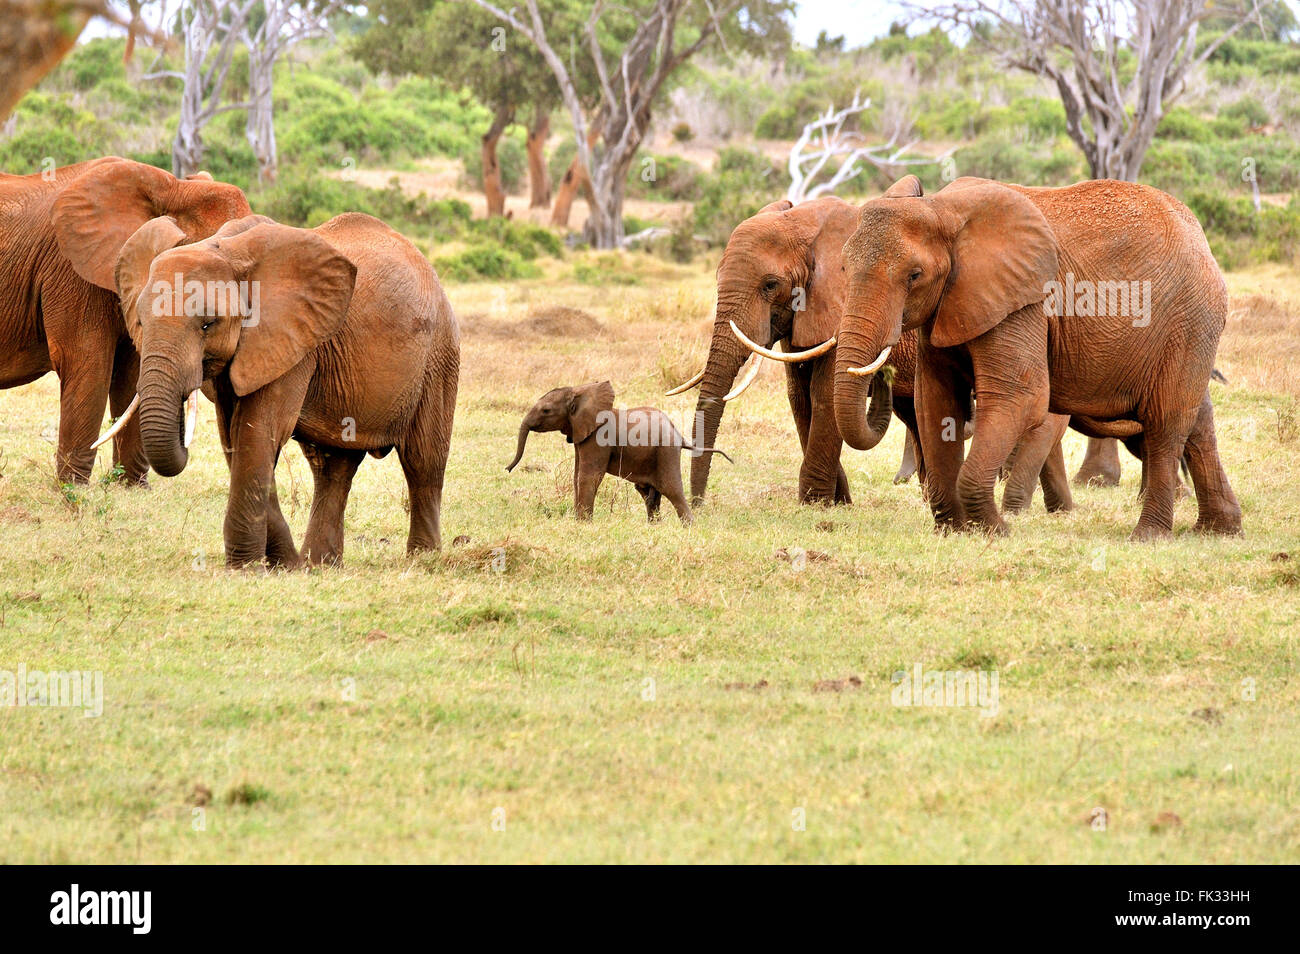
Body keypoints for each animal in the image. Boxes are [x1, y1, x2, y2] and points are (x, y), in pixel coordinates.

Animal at [1, 159, 248, 486]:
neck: (174, 188)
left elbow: (131, 375)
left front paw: (131, 487)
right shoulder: (72, 272)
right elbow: (87, 363)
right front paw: (73, 488)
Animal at [106, 213, 462, 566]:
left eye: (208, 324)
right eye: (140, 322)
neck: (225, 249)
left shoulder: (290, 340)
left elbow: (259, 431)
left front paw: (248, 568)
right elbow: (234, 437)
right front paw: (285, 565)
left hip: (439, 355)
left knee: (423, 460)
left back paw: (422, 559)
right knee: (332, 466)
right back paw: (319, 565)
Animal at [506, 382, 733, 527]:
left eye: (546, 411)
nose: (508, 469)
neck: (581, 393)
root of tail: (677, 433)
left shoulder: (598, 438)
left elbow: (589, 476)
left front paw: (584, 524)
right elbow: (577, 476)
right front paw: (579, 521)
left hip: (665, 451)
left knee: (671, 488)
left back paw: (689, 527)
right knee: (648, 493)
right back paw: (654, 526)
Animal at [665, 183, 1071, 519]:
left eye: (770, 285)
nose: (700, 504)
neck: (806, 225)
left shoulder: (836, 305)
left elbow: (824, 394)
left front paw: (815, 503)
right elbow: (799, 397)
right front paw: (838, 501)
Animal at [832, 175, 1237, 540]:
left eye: (915, 275)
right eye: (844, 268)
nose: (880, 377)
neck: (941, 209)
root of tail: (1201, 238)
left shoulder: (1022, 304)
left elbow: (1020, 396)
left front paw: (995, 531)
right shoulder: (948, 307)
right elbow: (935, 401)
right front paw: (953, 531)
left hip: (1190, 320)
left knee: (1166, 424)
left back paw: (1149, 536)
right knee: (1197, 422)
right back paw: (1219, 531)